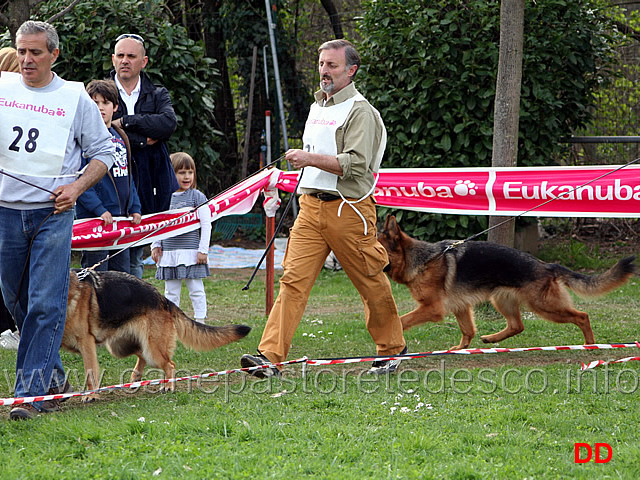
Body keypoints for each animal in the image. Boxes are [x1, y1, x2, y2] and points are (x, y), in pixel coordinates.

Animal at [61, 268, 249, 400]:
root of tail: (163, 299)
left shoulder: (86, 344)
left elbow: (90, 372)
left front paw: (91, 395)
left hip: (151, 349)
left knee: (169, 364)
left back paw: (168, 385)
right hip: (120, 347)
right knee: (142, 355)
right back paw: (135, 378)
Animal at [380, 215, 636, 348]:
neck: (422, 259)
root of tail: (547, 266)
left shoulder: (432, 309)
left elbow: (401, 320)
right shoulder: (461, 307)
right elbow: (467, 330)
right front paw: (461, 349)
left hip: (544, 307)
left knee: (582, 316)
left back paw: (590, 345)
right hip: (502, 300)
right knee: (517, 325)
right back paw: (492, 338)